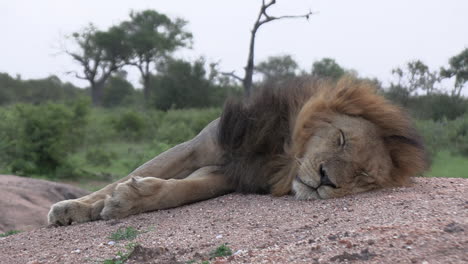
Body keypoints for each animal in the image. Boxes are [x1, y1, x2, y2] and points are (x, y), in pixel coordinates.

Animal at [47, 76, 428, 225]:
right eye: (341, 139)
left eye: (363, 177)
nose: (326, 180)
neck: (280, 154)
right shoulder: (197, 147)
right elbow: (120, 178)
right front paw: (74, 208)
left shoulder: (231, 175)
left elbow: (182, 190)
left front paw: (130, 201)